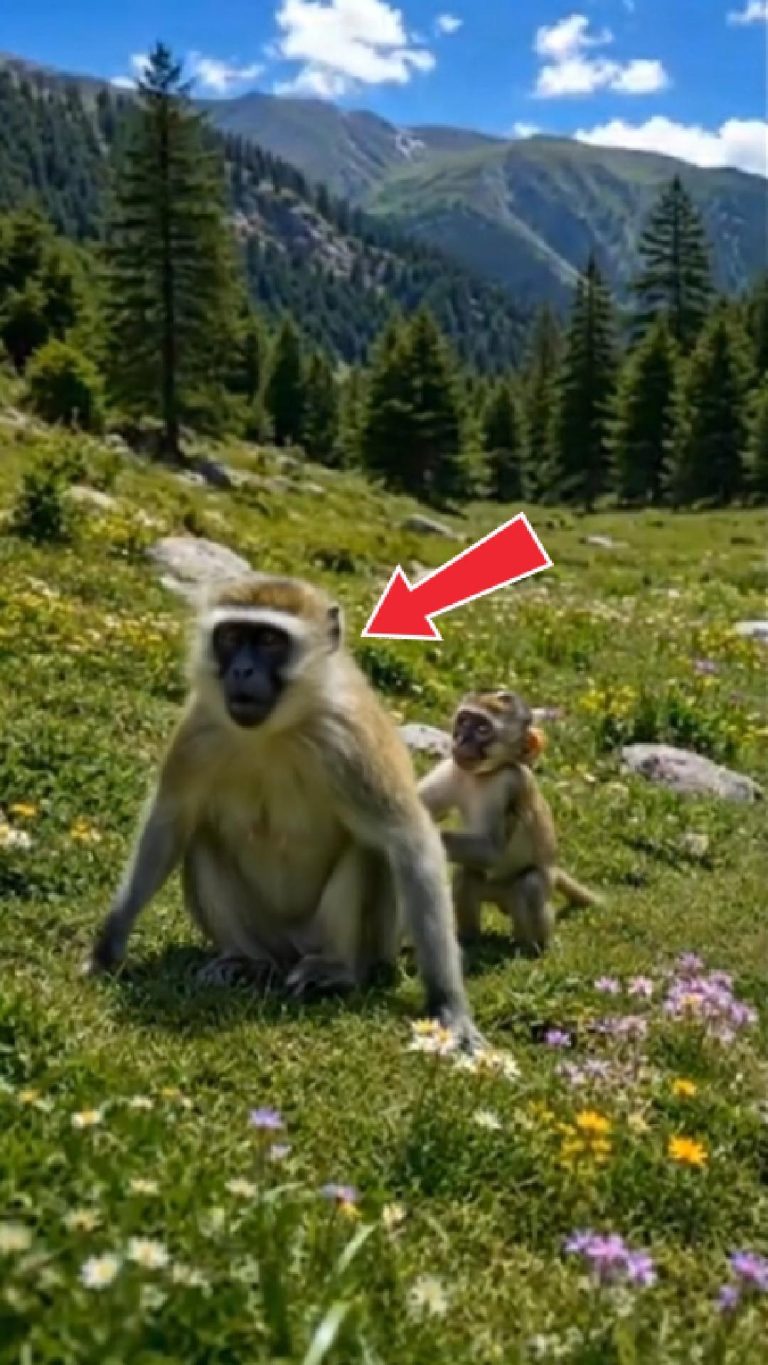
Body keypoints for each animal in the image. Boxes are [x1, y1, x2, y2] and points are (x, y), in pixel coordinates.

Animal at [86, 573, 482, 1050]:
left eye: (270, 641)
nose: (241, 670)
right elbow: (169, 824)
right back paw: (247, 962)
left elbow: (411, 843)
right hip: (269, 934)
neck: (277, 730)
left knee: (369, 852)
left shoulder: (350, 742)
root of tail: (291, 950)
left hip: (352, 941)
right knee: (202, 841)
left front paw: (448, 1003)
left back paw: (336, 970)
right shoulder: (199, 730)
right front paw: (109, 945)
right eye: (232, 637)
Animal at [417, 690, 601, 955]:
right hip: (490, 888)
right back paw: (469, 939)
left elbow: (491, 850)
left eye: (483, 728)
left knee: (530, 886)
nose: (462, 740)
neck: (483, 775)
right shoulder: (453, 767)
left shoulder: (507, 786)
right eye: (464, 721)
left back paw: (530, 949)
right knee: (468, 875)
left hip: (530, 891)